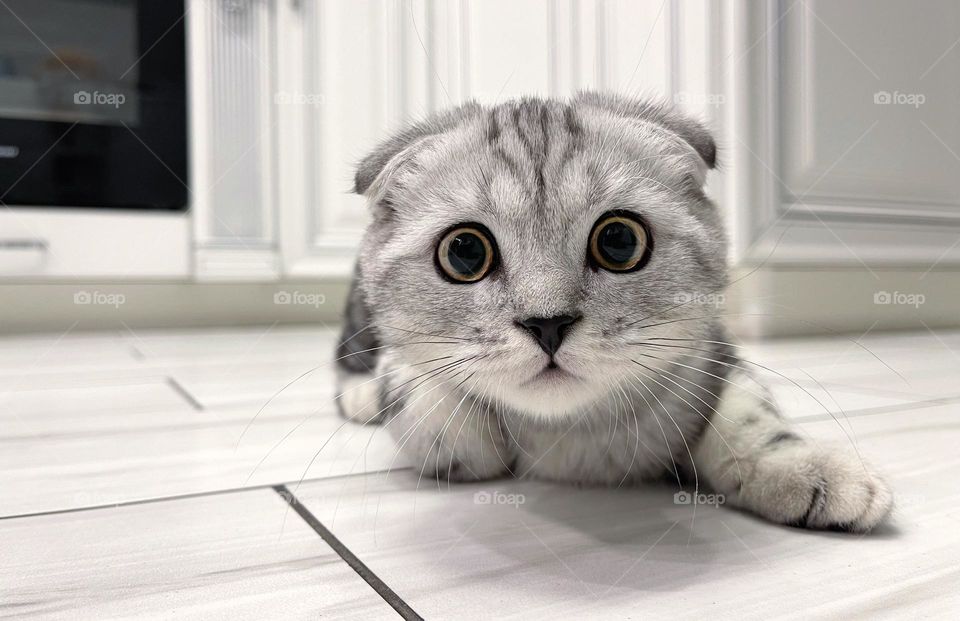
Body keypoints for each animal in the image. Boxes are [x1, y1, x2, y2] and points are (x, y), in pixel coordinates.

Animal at [336, 89, 892, 532]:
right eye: (465, 253)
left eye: (619, 241)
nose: (547, 324)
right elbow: (428, 404)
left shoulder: (712, 350)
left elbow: (750, 414)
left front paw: (807, 467)